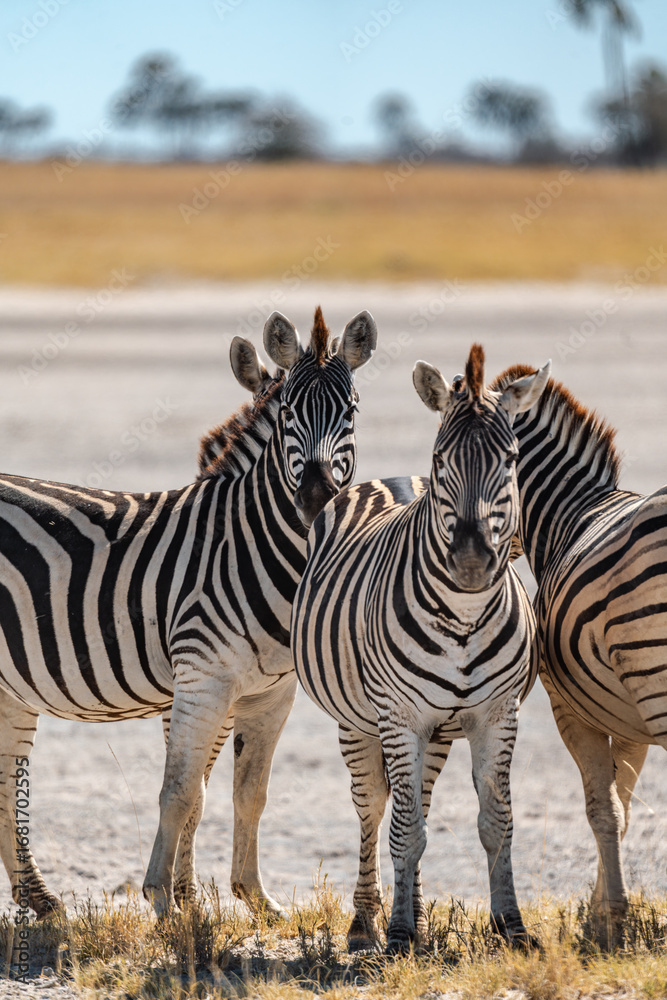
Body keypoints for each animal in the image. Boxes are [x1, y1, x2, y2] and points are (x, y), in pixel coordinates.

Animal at [0, 305, 377, 919]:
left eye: (352, 411)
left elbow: (248, 793)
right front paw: (164, 900)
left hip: (10, 685)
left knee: (7, 783)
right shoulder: (202, 681)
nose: (318, 499)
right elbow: (181, 791)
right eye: (289, 412)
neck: (252, 543)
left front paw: (253, 899)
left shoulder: (270, 694)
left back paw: (42, 900)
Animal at [292, 344, 550, 953]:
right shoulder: (399, 716)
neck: (464, 617)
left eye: (511, 459)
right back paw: (369, 923)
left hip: (436, 733)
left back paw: (419, 916)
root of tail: (387, 479)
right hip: (360, 722)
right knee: (375, 810)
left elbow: (496, 822)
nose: (472, 562)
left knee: (421, 805)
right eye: (441, 458)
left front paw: (511, 925)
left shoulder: (497, 715)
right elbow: (404, 829)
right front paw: (399, 933)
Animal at [490, 362, 667, 949]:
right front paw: (599, 912)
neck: (573, 511)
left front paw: (610, 921)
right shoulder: (627, 718)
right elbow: (624, 806)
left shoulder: (571, 707)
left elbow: (601, 809)